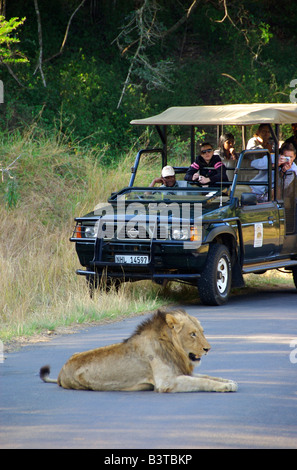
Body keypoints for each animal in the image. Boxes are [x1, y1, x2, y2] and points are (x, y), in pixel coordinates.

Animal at [40, 308, 237, 392]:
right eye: (193, 334)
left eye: (202, 332)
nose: (208, 349)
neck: (172, 347)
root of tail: (60, 372)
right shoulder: (166, 382)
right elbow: (202, 381)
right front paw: (225, 386)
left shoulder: (180, 371)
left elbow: (208, 377)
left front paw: (229, 381)